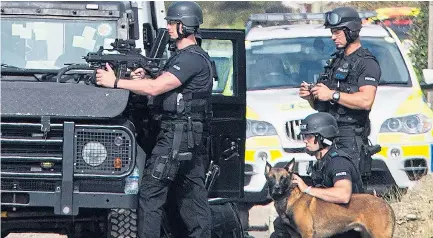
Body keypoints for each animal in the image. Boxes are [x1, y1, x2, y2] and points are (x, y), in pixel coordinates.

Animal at [264, 158, 394, 238]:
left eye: (283, 178)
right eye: (271, 178)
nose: (276, 188)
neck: (288, 199)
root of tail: (386, 204)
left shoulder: (307, 233)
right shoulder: (295, 235)